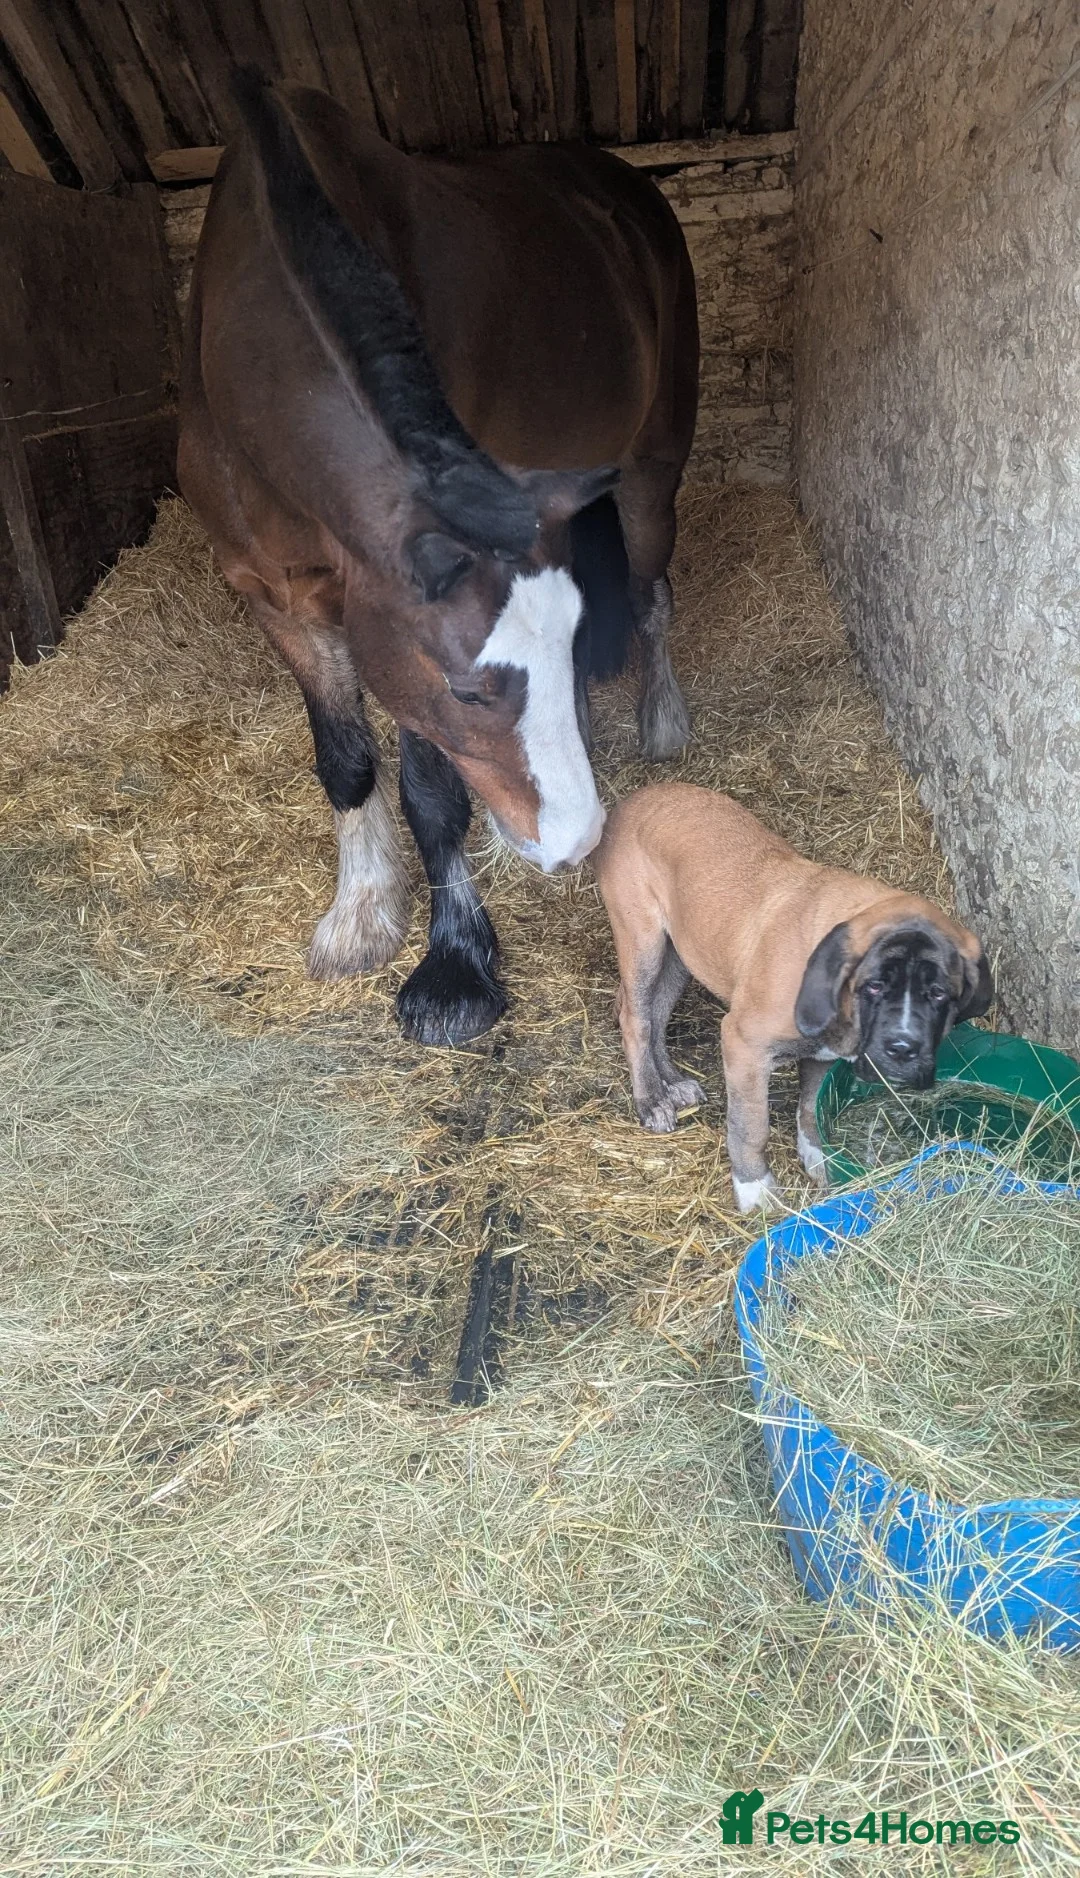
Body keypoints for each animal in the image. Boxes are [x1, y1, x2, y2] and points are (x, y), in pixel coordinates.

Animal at [178, 70, 699, 1046]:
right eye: (467, 690)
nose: (579, 839)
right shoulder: (275, 596)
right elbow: (346, 759)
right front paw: (362, 912)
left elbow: (429, 787)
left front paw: (453, 964)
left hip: (651, 474)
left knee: (652, 593)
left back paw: (662, 718)